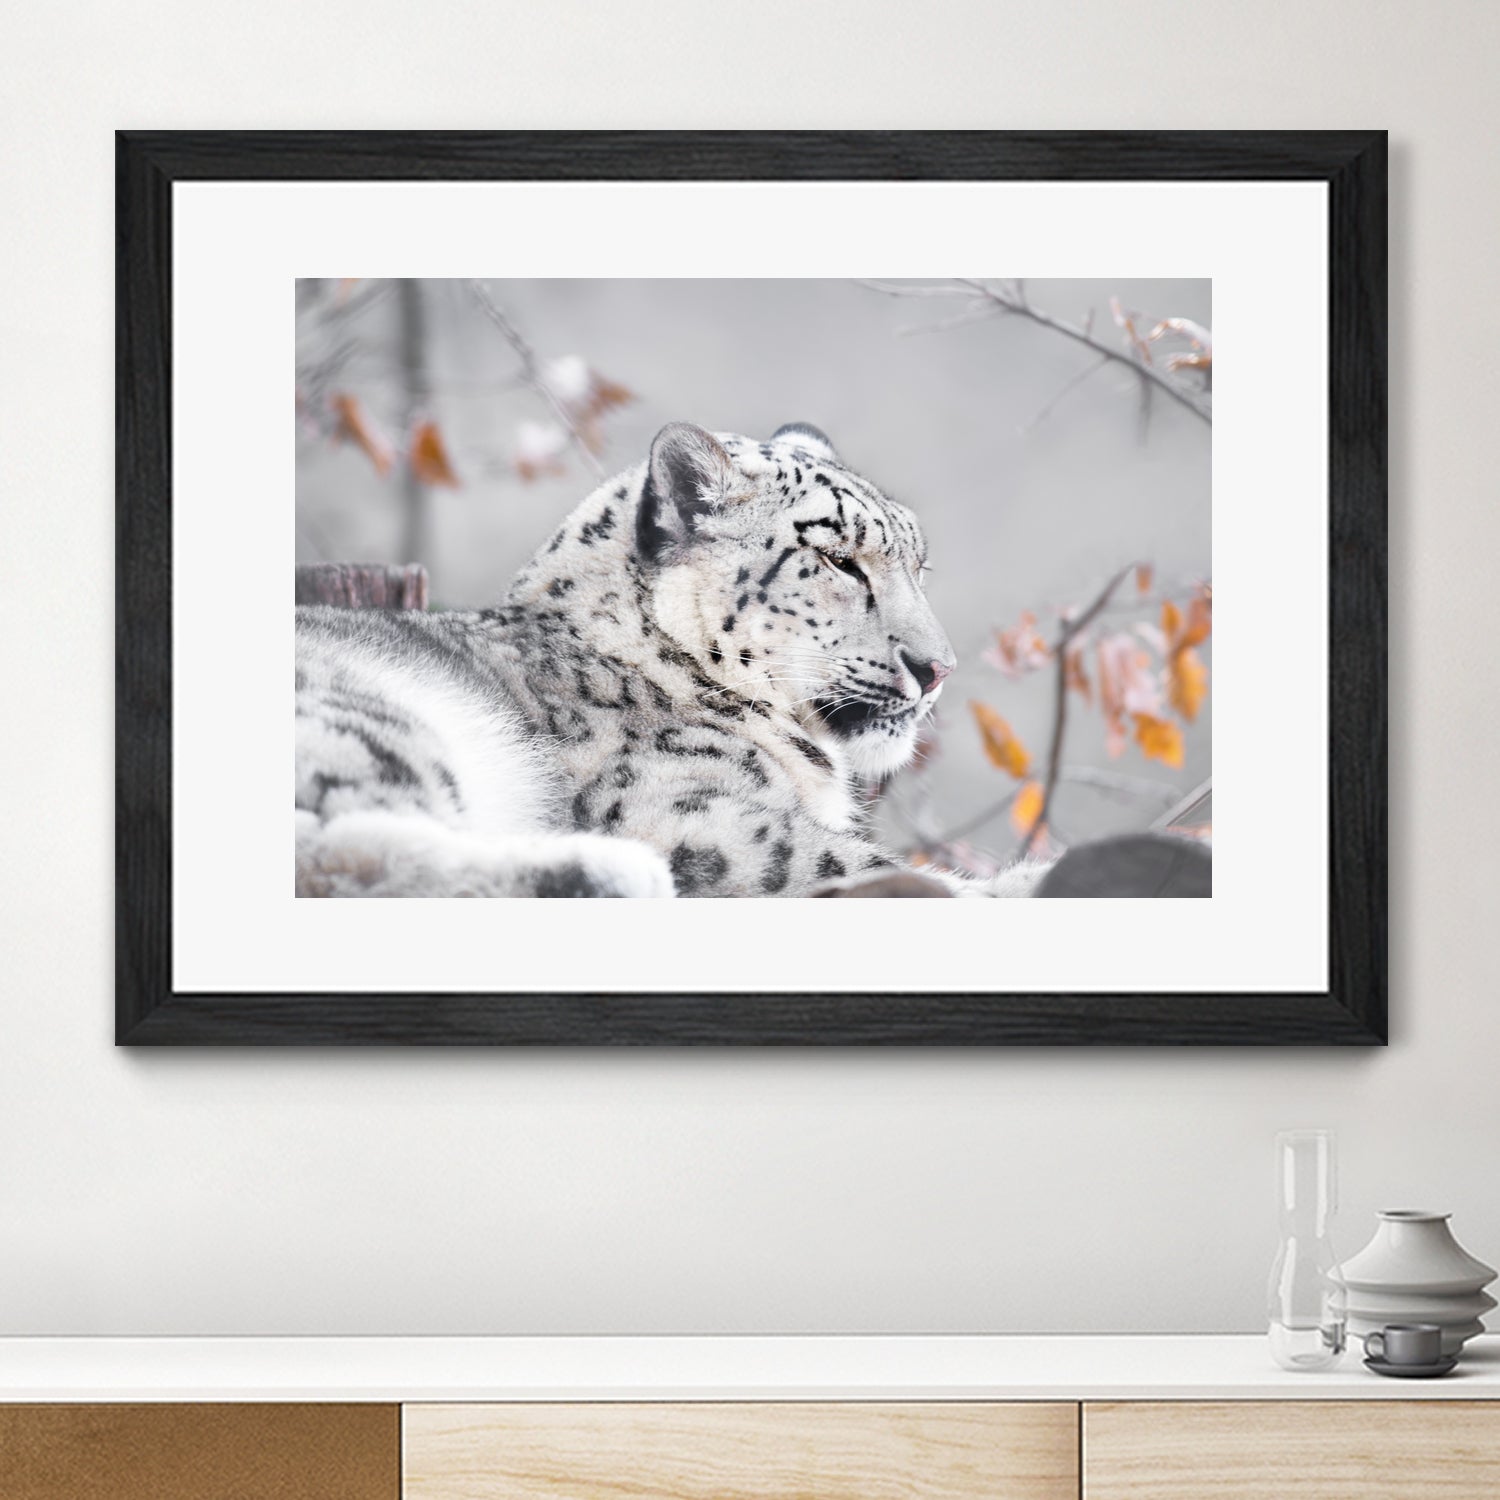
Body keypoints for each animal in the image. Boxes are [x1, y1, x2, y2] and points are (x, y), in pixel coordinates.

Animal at [295, 421, 1049, 898]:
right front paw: (1023, 880)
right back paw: (609, 873)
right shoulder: (696, 817)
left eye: (920, 565)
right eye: (839, 558)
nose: (937, 668)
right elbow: (851, 863)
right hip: (372, 719)